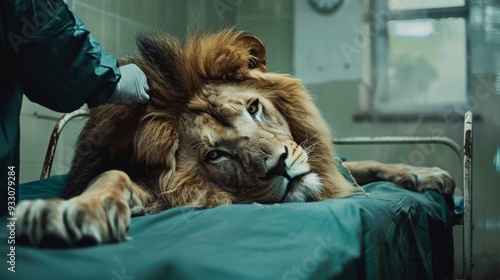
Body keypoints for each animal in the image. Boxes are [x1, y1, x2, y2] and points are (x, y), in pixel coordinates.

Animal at [15, 29, 456, 247]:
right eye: (215, 155)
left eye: (254, 108)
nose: (281, 166)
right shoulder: (158, 193)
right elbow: (113, 179)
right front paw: (72, 211)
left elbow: (360, 162)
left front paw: (426, 174)